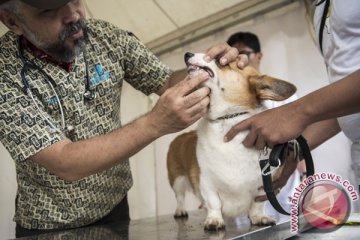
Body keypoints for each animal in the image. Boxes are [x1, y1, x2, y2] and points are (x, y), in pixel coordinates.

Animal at [166, 53, 296, 231]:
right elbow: (213, 203)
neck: (227, 119)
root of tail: (181, 137)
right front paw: (214, 220)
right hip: (177, 178)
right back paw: (180, 210)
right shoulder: (206, 182)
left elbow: (257, 205)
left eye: (220, 60)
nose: (187, 54)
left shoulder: (264, 185)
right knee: (179, 196)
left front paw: (259, 217)